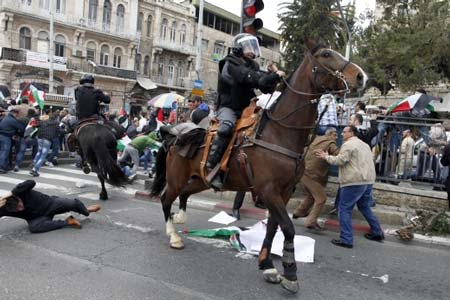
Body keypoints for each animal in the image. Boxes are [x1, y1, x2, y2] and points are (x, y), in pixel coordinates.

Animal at [149, 39, 368, 292]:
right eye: (326, 54)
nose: (361, 76)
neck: (279, 133)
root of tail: (173, 134)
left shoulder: (284, 192)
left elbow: (274, 227)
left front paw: (267, 265)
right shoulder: (268, 190)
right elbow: (288, 228)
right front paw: (290, 273)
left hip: (200, 180)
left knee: (183, 194)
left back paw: (180, 218)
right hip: (176, 178)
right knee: (166, 199)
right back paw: (174, 236)